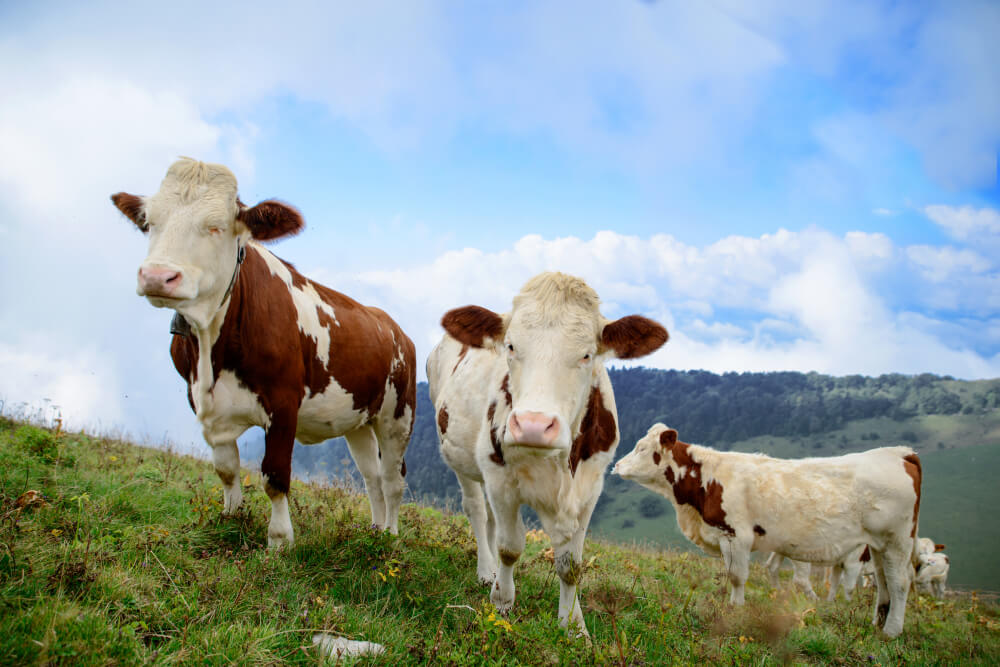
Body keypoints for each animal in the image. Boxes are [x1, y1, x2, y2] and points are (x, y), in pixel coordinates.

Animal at [111, 158, 416, 548]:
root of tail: (393, 326)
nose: (157, 276)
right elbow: (226, 469)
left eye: (217, 226)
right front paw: (231, 517)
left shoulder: (284, 402)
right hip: (358, 418)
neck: (210, 350)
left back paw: (390, 536)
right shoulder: (199, 399)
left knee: (393, 479)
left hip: (397, 416)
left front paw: (280, 540)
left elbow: (275, 475)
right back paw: (373, 533)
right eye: (149, 223)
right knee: (372, 475)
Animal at [426, 274, 668, 640]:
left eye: (587, 354)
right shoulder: (500, 478)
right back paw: (486, 570)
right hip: (461, 459)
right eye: (511, 347)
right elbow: (510, 547)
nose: (533, 425)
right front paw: (502, 603)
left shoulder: (589, 489)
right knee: (478, 511)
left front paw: (574, 628)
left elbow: (571, 565)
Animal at [612, 426, 924, 640]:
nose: (616, 465)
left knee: (900, 582)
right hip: (879, 545)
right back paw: (878, 622)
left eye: (642, 448)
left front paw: (735, 608)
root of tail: (898, 452)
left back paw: (892, 631)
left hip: (897, 541)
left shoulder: (735, 535)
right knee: (884, 582)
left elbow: (737, 577)